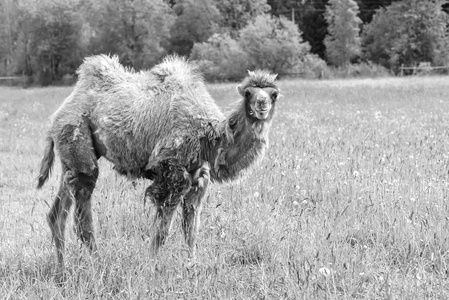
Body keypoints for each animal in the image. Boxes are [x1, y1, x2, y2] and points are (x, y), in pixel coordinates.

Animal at [36, 54, 280, 274]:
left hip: (70, 159)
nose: (262, 105)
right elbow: (161, 232)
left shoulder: (199, 176)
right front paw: (150, 268)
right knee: (82, 219)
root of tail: (56, 117)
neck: (208, 138)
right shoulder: (171, 173)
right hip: (78, 141)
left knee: (57, 214)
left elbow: (191, 229)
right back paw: (98, 266)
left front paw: (192, 267)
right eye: (248, 93)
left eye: (274, 94)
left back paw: (62, 271)